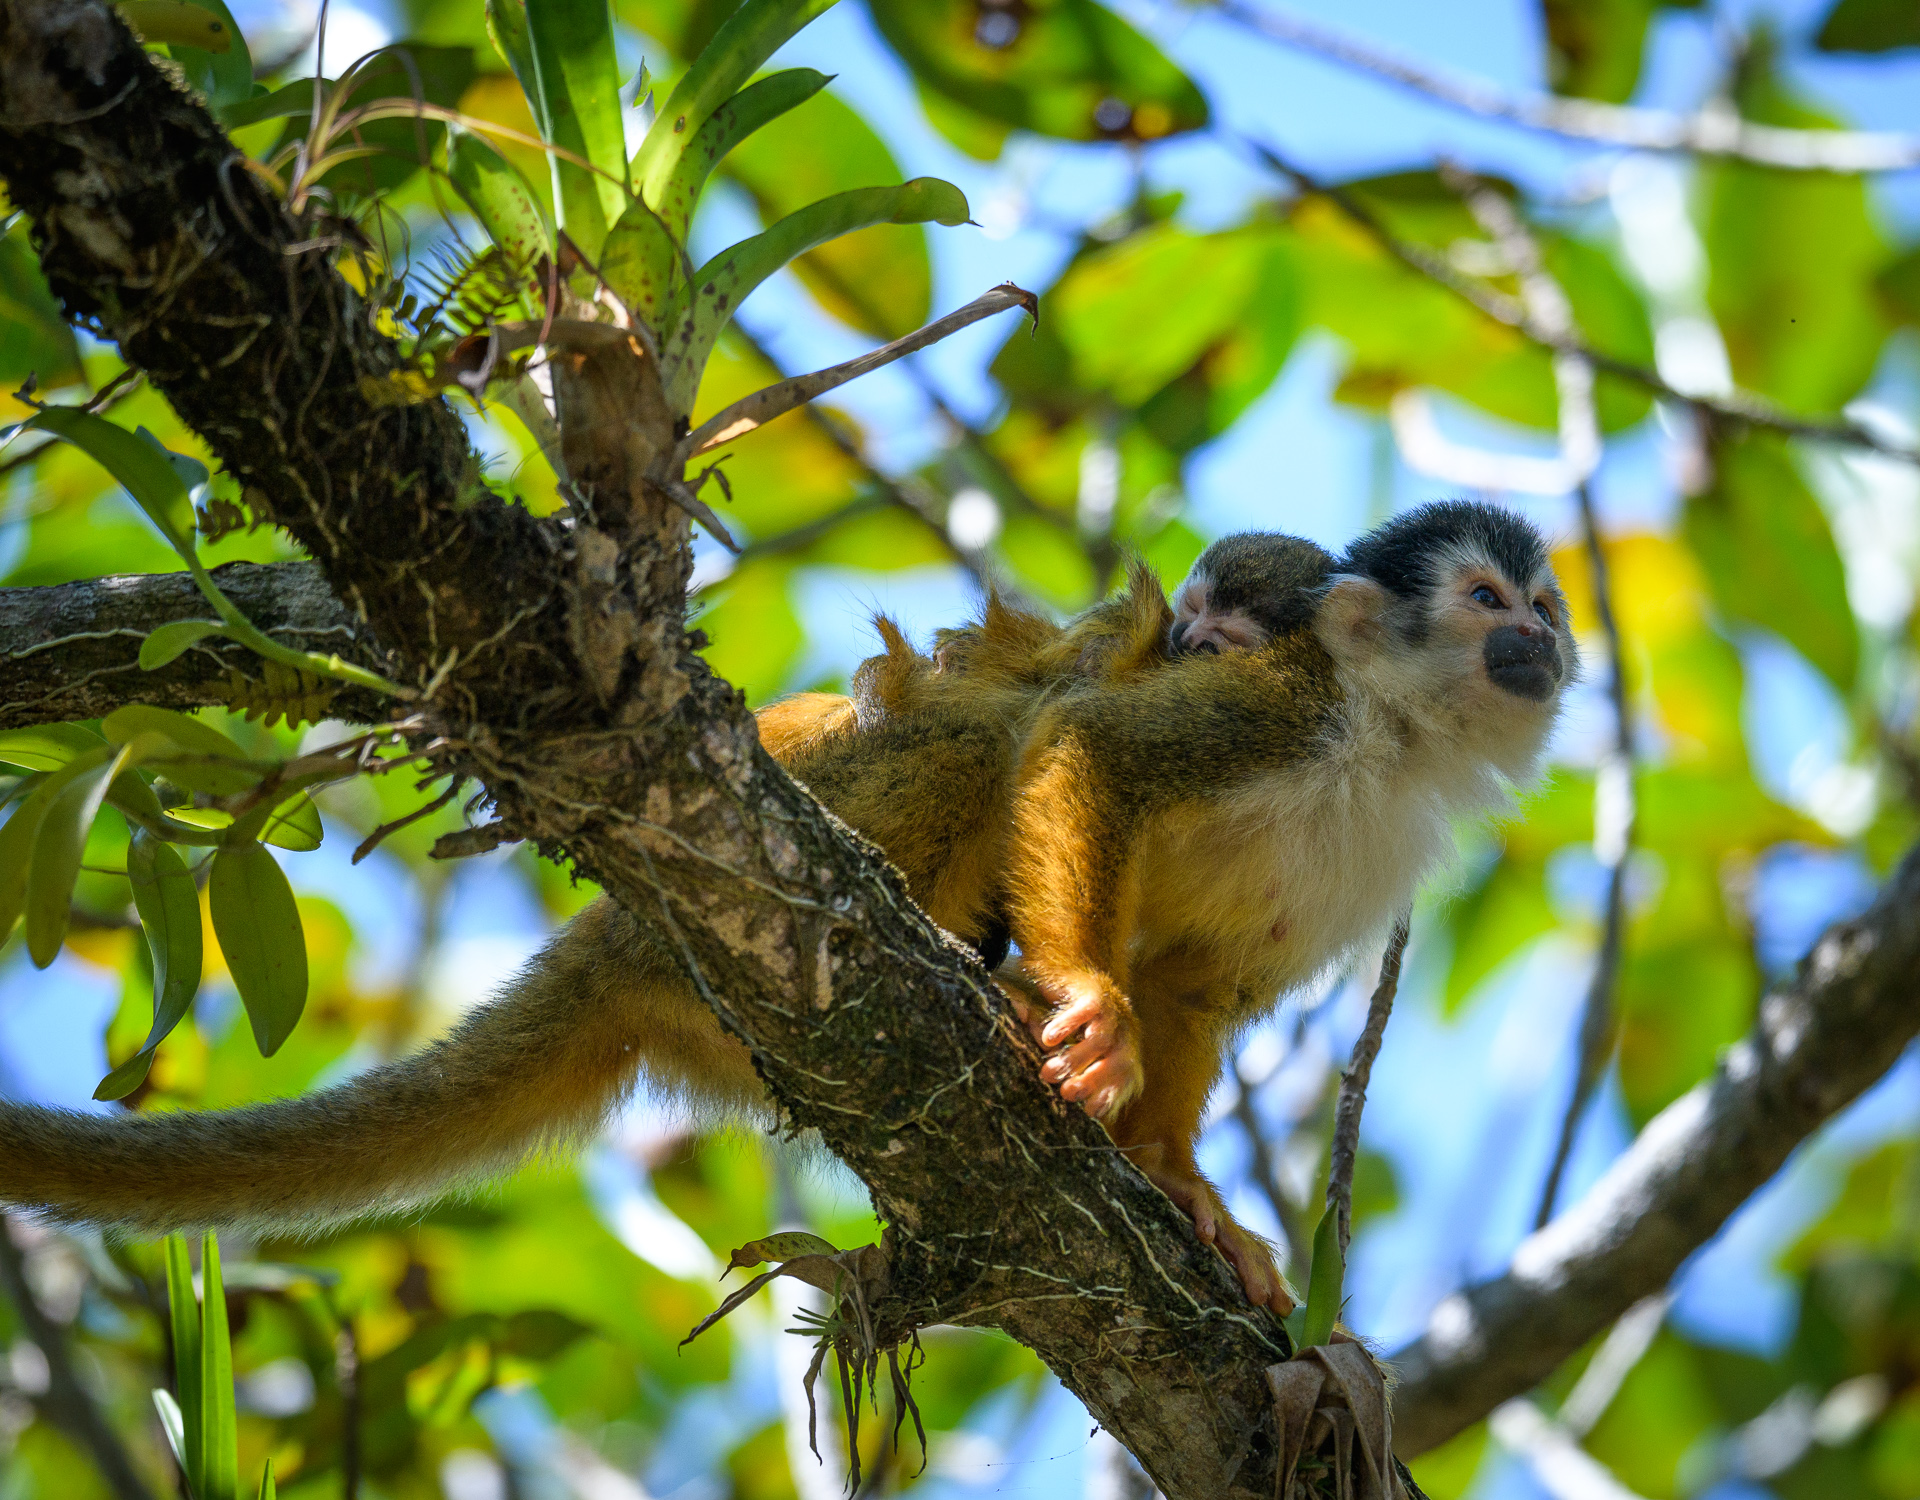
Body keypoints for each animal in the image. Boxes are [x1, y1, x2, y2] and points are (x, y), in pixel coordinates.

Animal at [0, 507, 1574, 1321]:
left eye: (1544, 610)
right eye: (1490, 599)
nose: (1545, 645)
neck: (1394, 738)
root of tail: (622, 933)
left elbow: (1199, 986)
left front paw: (1181, 1179)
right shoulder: (1282, 705)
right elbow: (1086, 744)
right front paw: (1089, 1009)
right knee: (978, 729)